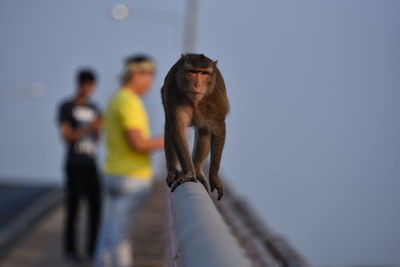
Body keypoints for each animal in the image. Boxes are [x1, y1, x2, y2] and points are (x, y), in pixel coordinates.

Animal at [162, 54, 230, 201]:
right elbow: (177, 128)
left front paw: (214, 177)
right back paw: (173, 170)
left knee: (204, 131)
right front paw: (188, 173)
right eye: (193, 72)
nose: (197, 84)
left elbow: (218, 129)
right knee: (168, 126)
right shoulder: (172, 95)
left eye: (204, 73)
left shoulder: (216, 101)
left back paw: (197, 170)